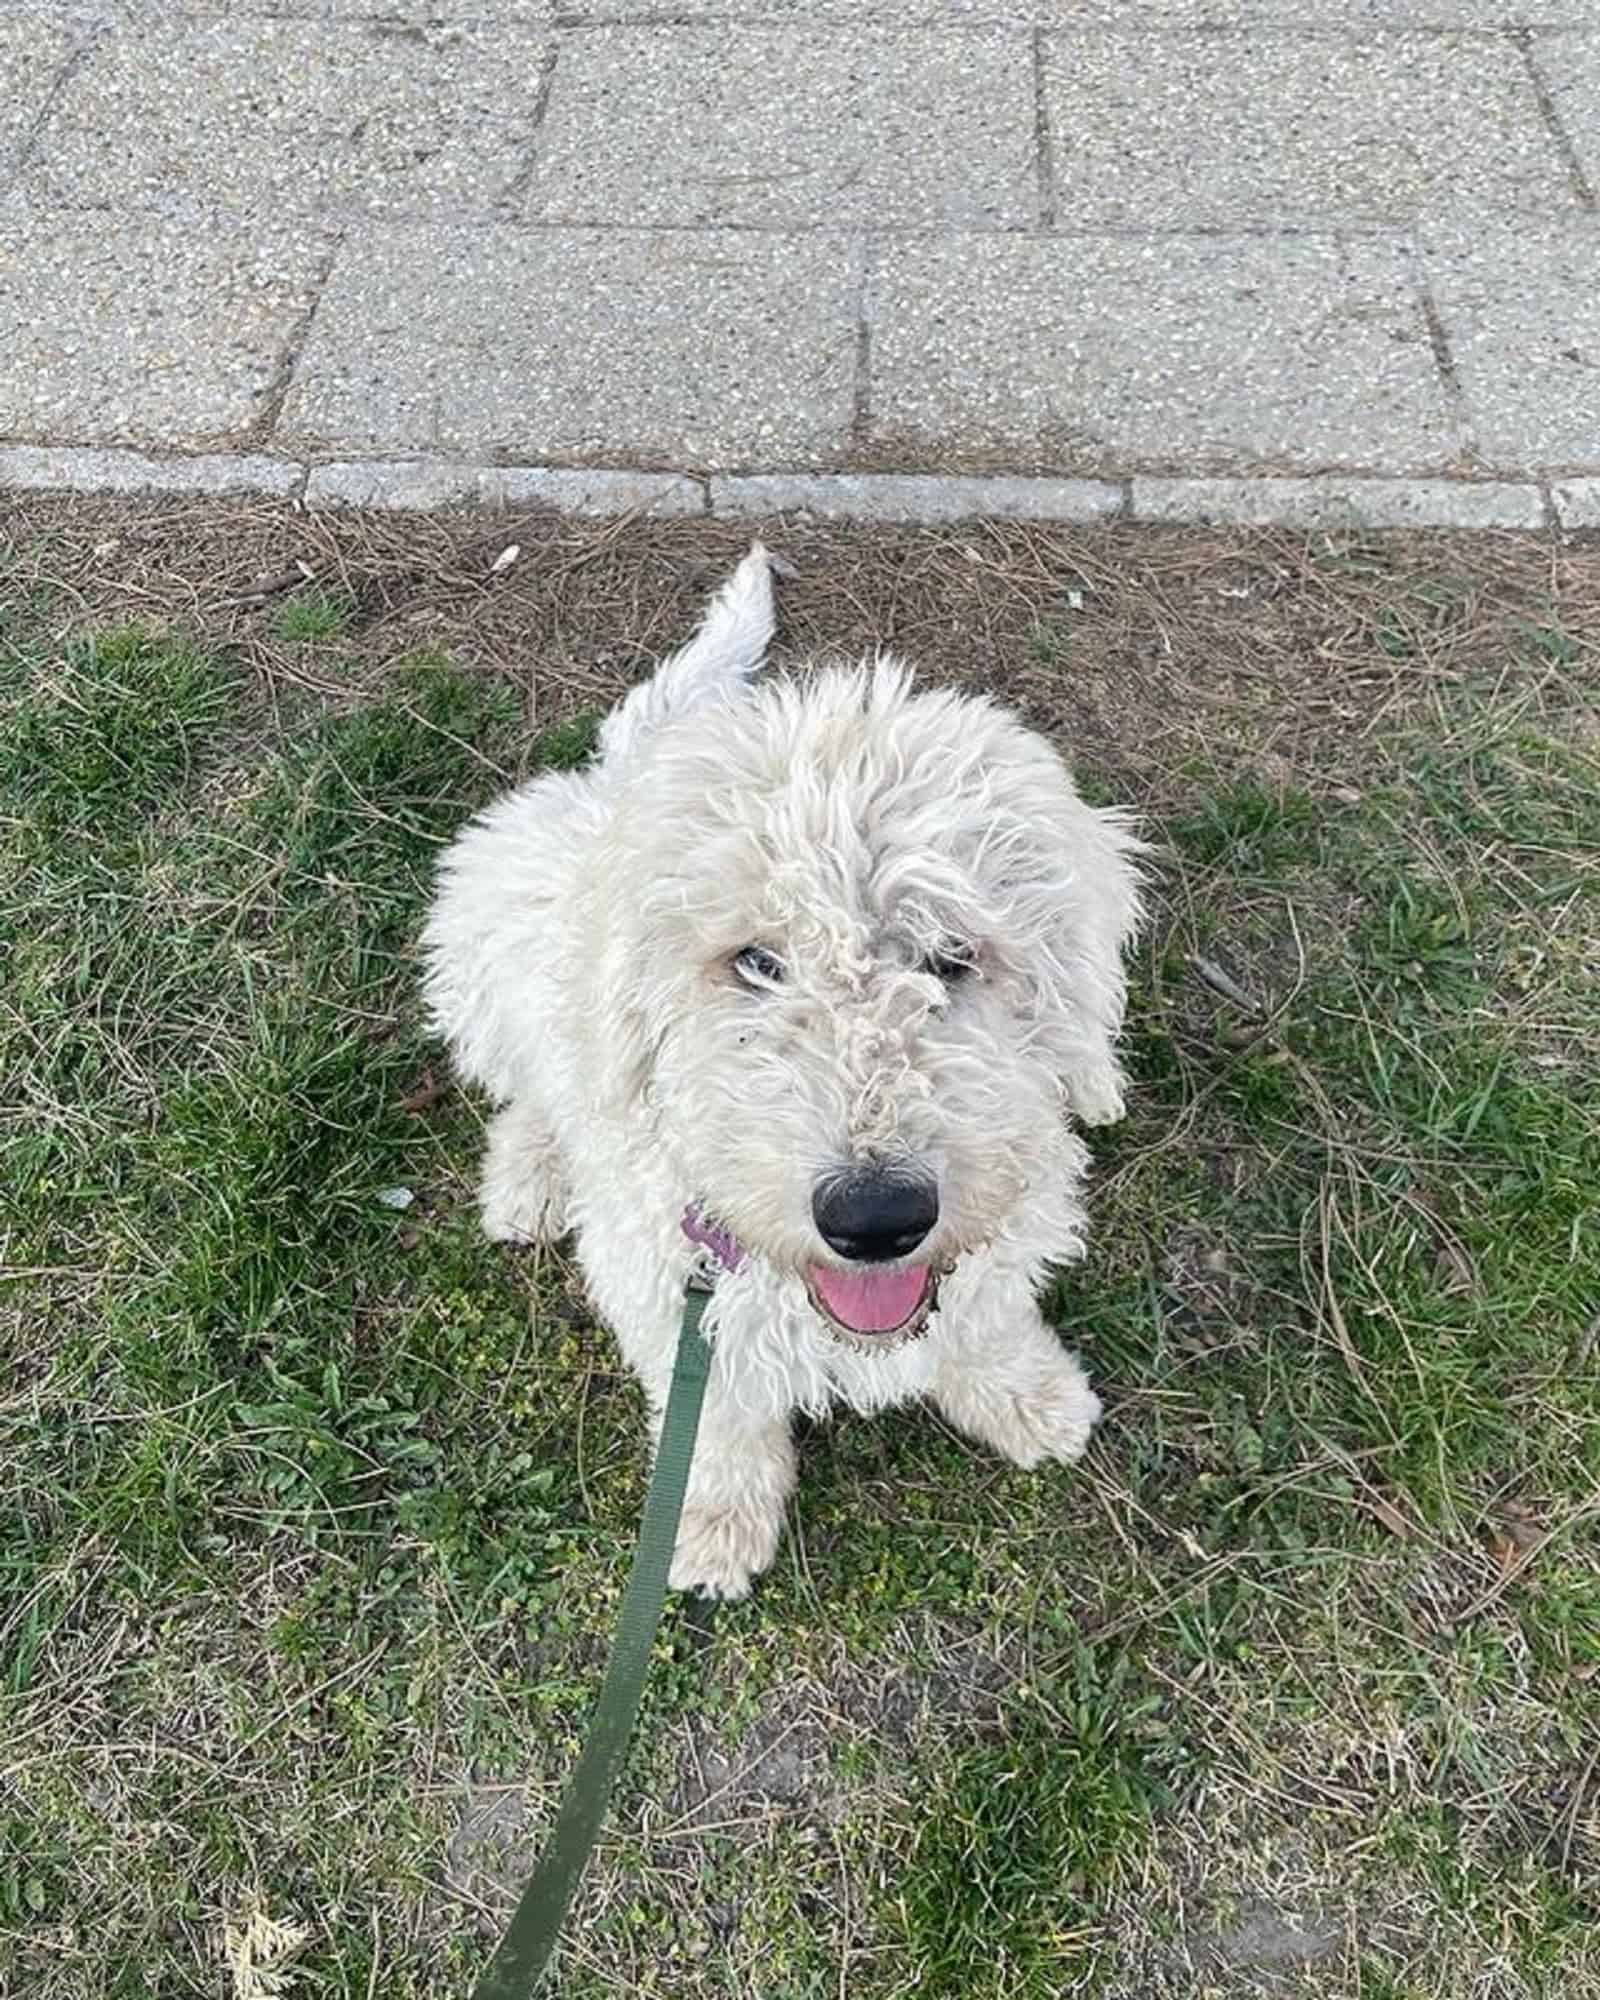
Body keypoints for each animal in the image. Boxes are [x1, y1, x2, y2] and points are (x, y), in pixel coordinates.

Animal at [418, 544, 1144, 1592]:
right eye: (757, 963)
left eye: (951, 958)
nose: (876, 1219)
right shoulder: (669, 1289)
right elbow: (720, 1415)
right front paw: (714, 1522)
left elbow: (984, 1316)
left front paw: (1030, 1397)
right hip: (489, 981)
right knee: (533, 1094)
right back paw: (531, 1179)